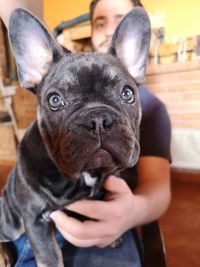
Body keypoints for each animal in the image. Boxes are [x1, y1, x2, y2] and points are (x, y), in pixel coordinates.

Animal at [0, 7, 150, 267]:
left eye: (127, 93)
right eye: (54, 100)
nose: (98, 119)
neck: (82, 175)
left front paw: (113, 237)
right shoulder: (35, 220)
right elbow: (50, 257)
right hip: (11, 221)